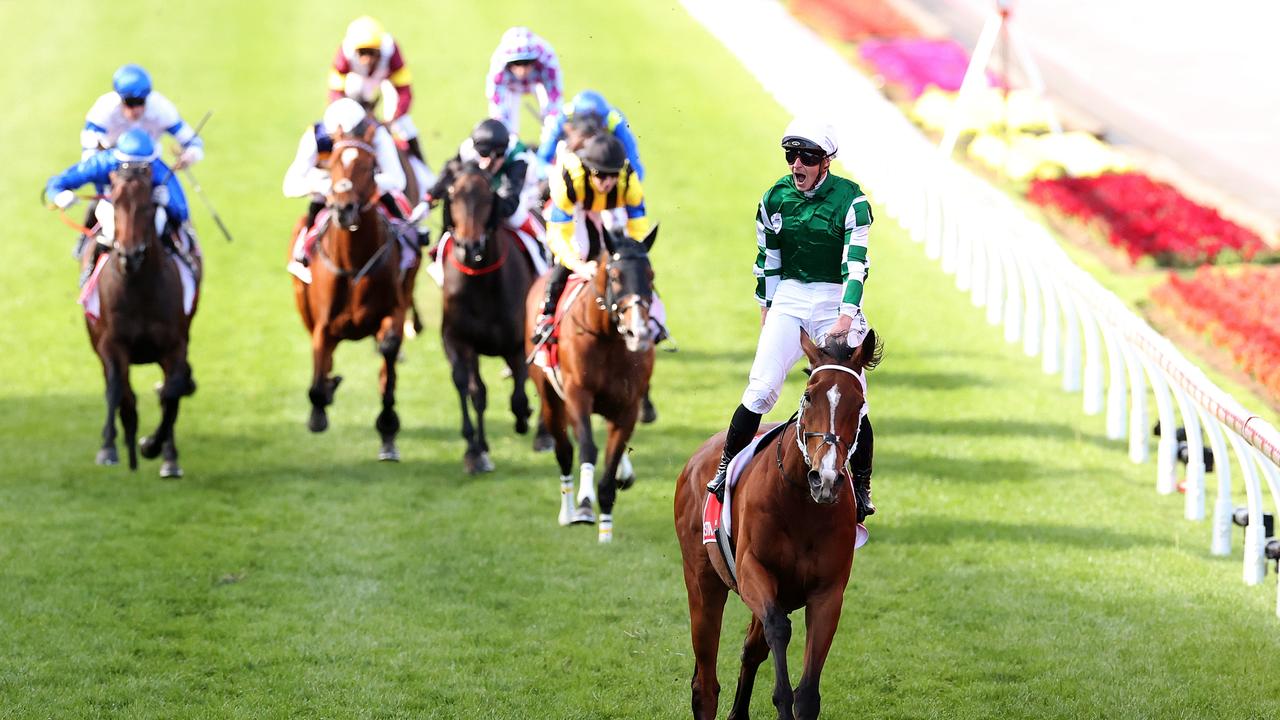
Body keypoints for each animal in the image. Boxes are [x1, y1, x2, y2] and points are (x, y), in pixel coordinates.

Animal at [88, 163, 199, 476]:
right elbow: (121, 394)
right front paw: (114, 448)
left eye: (150, 206)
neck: (139, 287)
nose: (131, 255)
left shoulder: (174, 345)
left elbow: (171, 395)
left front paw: (158, 449)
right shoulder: (112, 345)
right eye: (114, 203)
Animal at [291, 121, 407, 458]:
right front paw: (320, 407)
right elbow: (318, 378)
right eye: (332, 165)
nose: (344, 209)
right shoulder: (322, 325)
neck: (354, 263)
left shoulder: (394, 310)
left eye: (370, 167)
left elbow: (389, 353)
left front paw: (388, 424)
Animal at [440, 165, 535, 474]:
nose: (470, 247)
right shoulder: (457, 339)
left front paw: (524, 416)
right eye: (453, 194)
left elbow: (519, 394)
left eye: (487, 196)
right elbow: (471, 388)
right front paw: (475, 450)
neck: (480, 283)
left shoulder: (517, 344)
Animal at [522, 221, 655, 540]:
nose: (639, 333)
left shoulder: (627, 408)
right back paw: (568, 511)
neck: (608, 338)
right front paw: (583, 506)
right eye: (616, 277)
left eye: (651, 276)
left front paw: (606, 530)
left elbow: (610, 464)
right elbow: (587, 448)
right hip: (551, 399)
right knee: (564, 451)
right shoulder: (577, 395)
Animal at [675, 330, 885, 717]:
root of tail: (696, 458)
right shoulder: (752, 571)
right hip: (702, 581)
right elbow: (778, 629)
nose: (825, 478)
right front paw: (780, 698)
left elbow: (807, 694)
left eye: (859, 403)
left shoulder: (827, 592)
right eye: (809, 395)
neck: (800, 503)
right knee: (705, 684)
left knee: (751, 650)